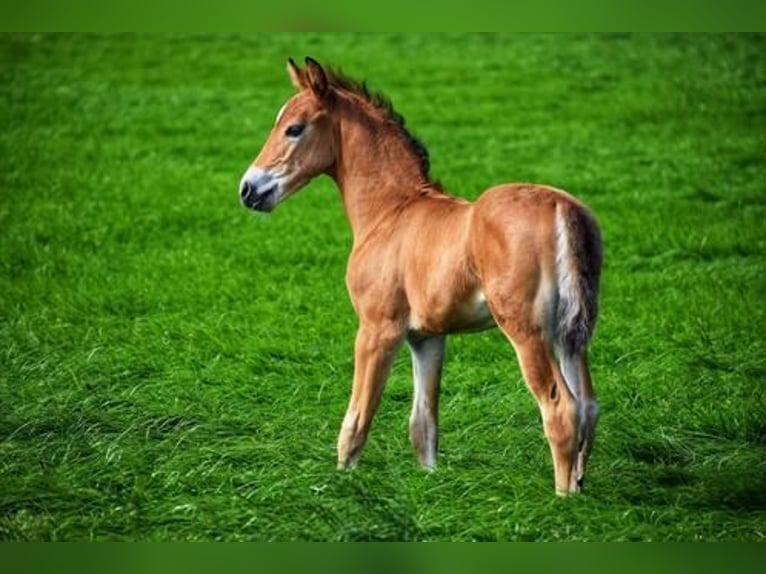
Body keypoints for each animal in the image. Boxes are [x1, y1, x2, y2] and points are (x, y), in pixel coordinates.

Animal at [242, 57, 608, 496]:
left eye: (294, 128)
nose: (248, 189)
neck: (390, 211)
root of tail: (561, 207)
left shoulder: (378, 328)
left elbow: (357, 420)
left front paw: (342, 485)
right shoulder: (427, 337)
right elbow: (424, 425)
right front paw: (430, 485)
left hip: (527, 330)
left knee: (561, 407)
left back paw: (563, 498)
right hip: (571, 333)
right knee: (588, 405)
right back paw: (580, 483)